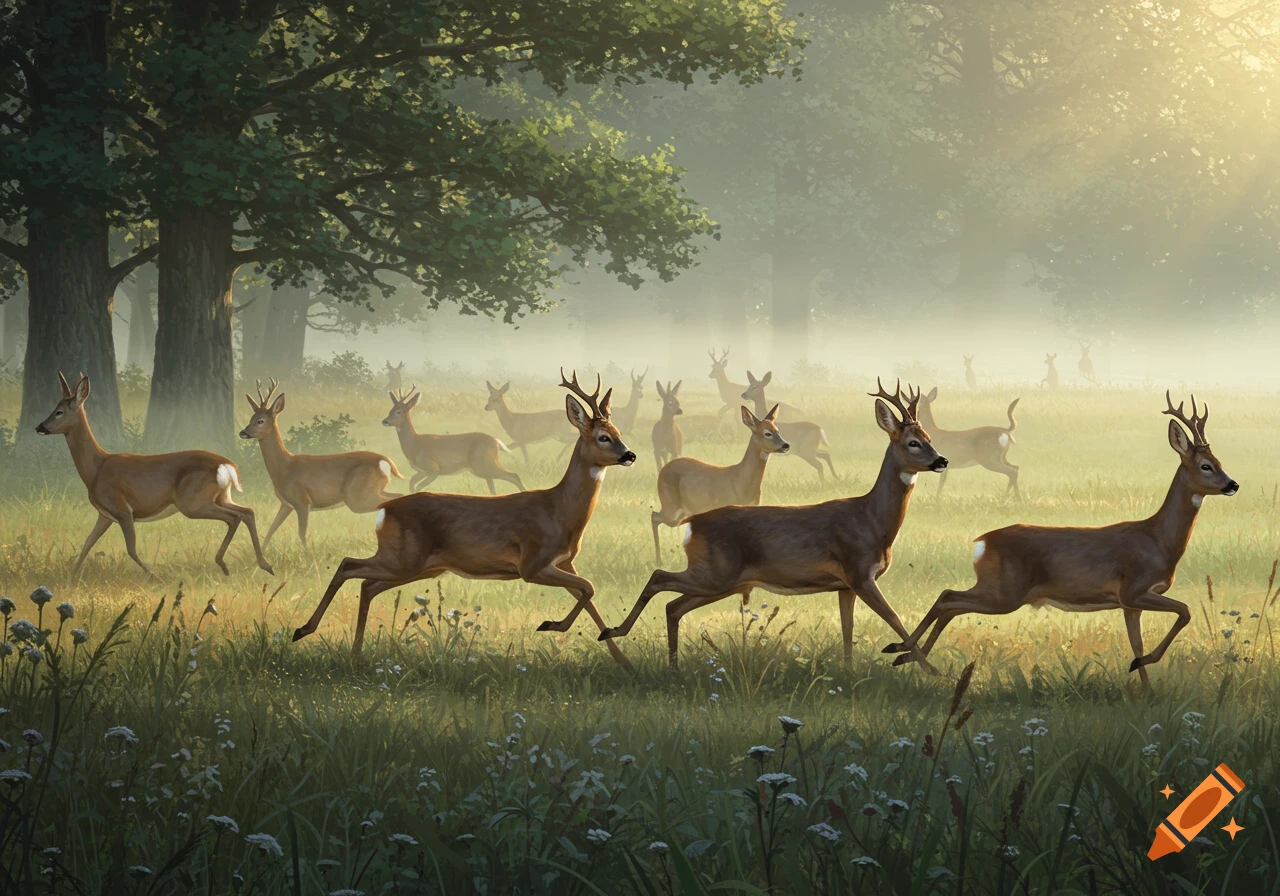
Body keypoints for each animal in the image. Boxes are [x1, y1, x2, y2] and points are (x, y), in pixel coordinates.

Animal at [36, 372, 273, 577]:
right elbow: (87, 544)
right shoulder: (105, 515)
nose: (40, 427)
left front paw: (153, 575)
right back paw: (264, 565)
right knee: (247, 512)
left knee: (233, 517)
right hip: (221, 496)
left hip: (192, 501)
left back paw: (224, 563)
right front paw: (70, 578)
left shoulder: (123, 510)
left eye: (59, 411)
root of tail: (228, 465)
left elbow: (130, 549)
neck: (96, 468)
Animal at [239, 379, 404, 549]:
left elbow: (302, 534)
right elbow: (270, 531)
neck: (285, 467)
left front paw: (306, 554)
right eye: (250, 418)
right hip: (371, 490)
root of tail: (386, 462)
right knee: (398, 495)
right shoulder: (286, 504)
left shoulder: (302, 501)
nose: (242, 432)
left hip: (356, 495)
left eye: (260, 421)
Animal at [383, 386, 523, 494]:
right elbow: (411, 484)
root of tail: (496, 441)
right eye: (390, 410)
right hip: (483, 468)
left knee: (514, 476)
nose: (384, 421)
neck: (415, 443)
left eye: (399, 412)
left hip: (485, 464)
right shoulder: (421, 471)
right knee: (494, 487)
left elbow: (418, 487)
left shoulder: (433, 469)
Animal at [650, 404, 789, 563]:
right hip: (671, 506)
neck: (740, 482)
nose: (786, 445)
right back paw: (658, 560)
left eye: (777, 430)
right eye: (767, 433)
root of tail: (663, 470)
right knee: (654, 516)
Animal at [884, 392, 1237, 690]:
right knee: (947, 597)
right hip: (1004, 593)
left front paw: (1144, 681)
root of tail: (982, 542)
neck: (1158, 540)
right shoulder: (1134, 589)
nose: (1232, 484)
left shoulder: (1129, 603)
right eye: (1206, 466)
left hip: (998, 590)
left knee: (950, 605)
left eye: (1220, 462)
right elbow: (1185, 611)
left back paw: (906, 655)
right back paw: (901, 649)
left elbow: (1136, 642)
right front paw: (1143, 668)